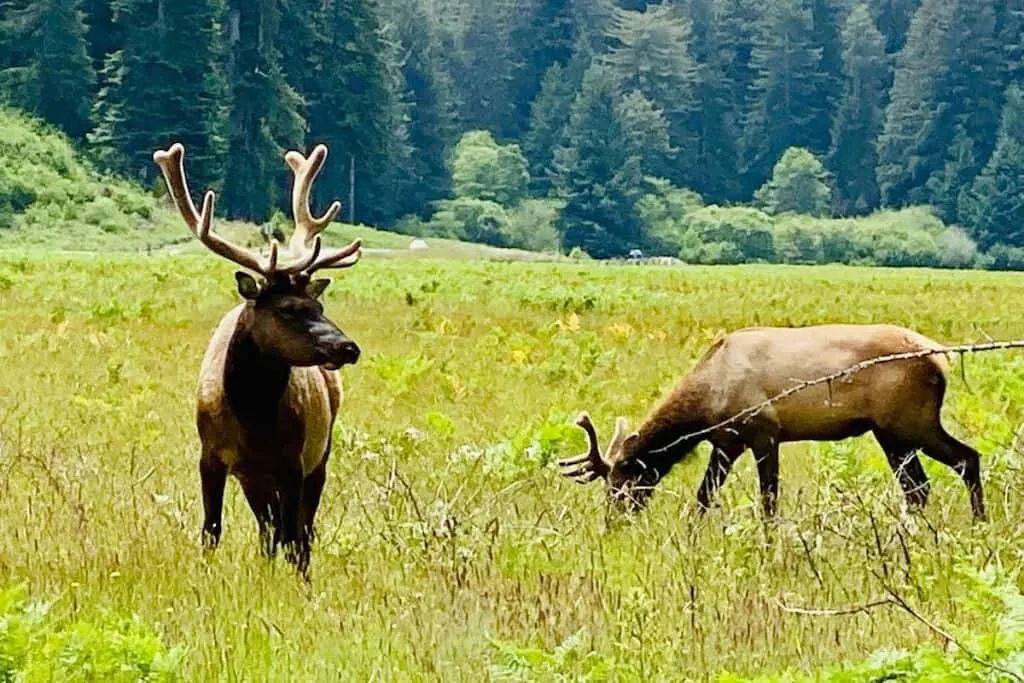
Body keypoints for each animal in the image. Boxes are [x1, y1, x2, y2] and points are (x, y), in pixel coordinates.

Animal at [149, 141, 362, 573]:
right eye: (287, 309)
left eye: (318, 306)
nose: (348, 347)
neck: (251, 417)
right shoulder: (211, 457)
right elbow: (211, 530)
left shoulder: (293, 461)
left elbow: (293, 538)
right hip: (255, 479)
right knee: (269, 529)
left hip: (320, 455)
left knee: (300, 530)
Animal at [561, 325, 983, 524]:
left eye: (621, 484)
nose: (611, 525)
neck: (707, 399)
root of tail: (940, 358)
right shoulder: (726, 442)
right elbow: (703, 496)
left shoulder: (763, 433)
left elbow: (768, 502)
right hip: (892, 433)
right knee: (920, 488)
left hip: (910, 423)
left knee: (966, 459)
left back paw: (978, 525)